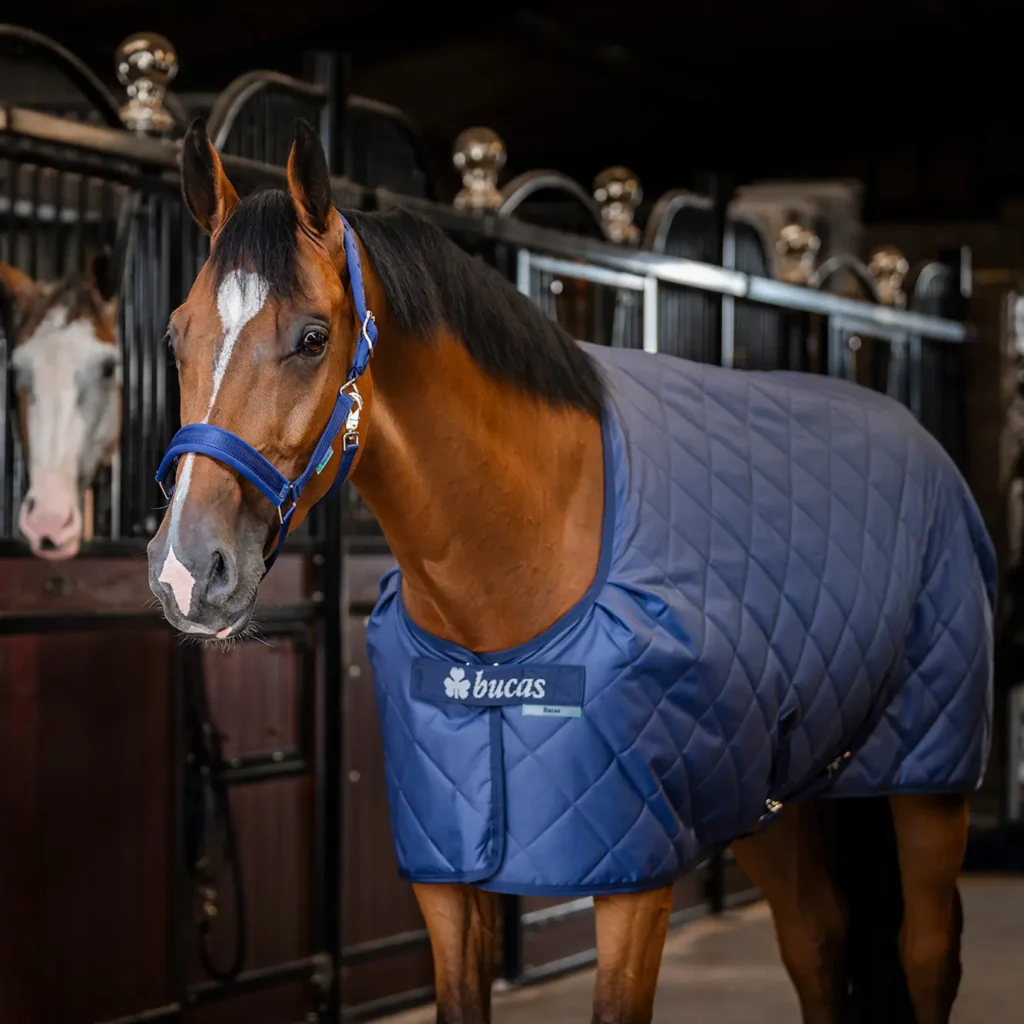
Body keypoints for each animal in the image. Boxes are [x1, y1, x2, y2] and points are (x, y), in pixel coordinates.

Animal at [147, 118, 996, 1024]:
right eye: (176, 336)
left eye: (312, 338)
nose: (188, 570)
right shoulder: (451, 872)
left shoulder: (633, 871)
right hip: (770, 791)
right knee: (817, 939)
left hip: (930, 781)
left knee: (926, 954)